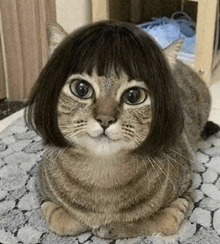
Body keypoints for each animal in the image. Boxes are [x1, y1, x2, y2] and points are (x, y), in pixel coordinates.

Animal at [25, 20, 211, 238]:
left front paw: (110, 227)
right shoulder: (41, 186)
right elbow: (60, 221)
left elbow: (160, 221)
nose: (105, 119)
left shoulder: (185, 188)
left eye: (134, 95)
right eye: (81, 88)